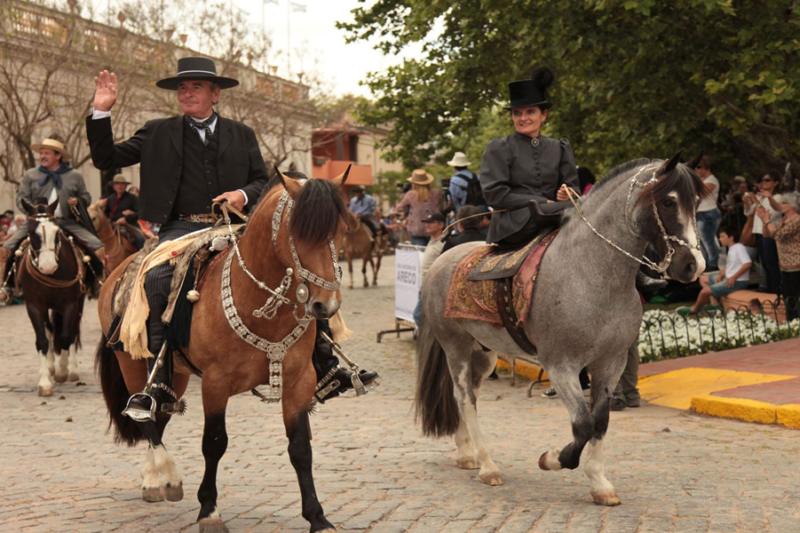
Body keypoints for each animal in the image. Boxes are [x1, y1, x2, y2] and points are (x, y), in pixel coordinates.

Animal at [16, 200, 88, 394]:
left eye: (56, 231)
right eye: (31, 232)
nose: (48, 266)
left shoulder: (70, 303)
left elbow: (65, 336)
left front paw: (63, 371)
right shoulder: (34, 305)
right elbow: (42, 340)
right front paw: (45, 382)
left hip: (78, 303)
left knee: (72, 332)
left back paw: (72, 369)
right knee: (50, 330)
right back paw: (50, 366)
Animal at [95, 171, 354, 532]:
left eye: (342, 230)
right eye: (300, 232)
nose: (325, 306)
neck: (258, 305)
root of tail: (117, 272)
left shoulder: (299, 381)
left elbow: (301, 447)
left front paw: (318, 517)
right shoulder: (215, 384)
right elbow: (215, 443)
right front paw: (209, 511)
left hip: (178, 375)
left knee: (160, 414)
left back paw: (153, 478)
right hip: (132, 364)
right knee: (146, 417)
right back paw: (167, 476)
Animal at [418, 154, 708, 508]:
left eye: (697, 203)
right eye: (668, 202)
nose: (694, 266)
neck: (590, 274)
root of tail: (440, 261)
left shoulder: (610, 364)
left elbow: (600, 421)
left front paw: (599, 482)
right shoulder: (561, 366)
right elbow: (582, 425)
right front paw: (553, 458)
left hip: (483, 354)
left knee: (467, 394)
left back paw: (466, 452)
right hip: (456, 347)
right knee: (464, 397)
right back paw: (487, 465)